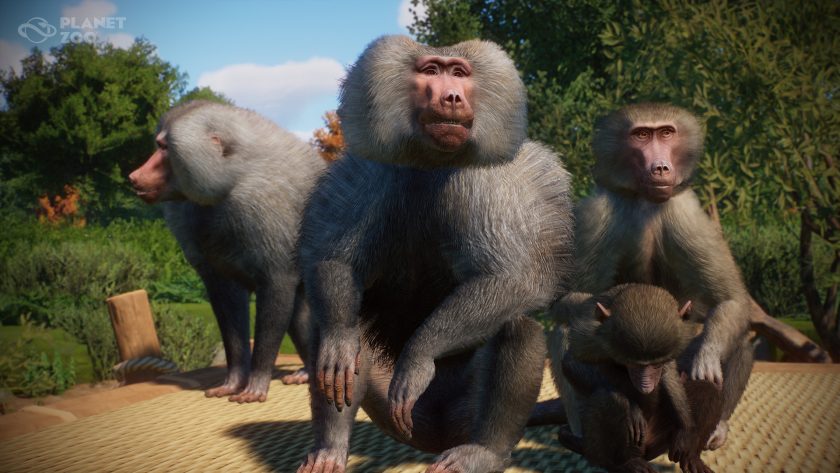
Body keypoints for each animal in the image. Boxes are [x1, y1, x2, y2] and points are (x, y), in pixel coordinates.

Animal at [128, 101, 326, 402]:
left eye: (163, 147)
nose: (134, 177)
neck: (232, 178)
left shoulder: (263, 209)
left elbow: (277, 287)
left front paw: (255, 385)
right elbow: (227, 303)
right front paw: (233, 382)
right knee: (299, 314)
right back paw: (307, 372)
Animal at [296, 35, 574, 473]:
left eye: (459, 73)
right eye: (431, 71)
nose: (452, 97)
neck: (430, 162)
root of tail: (433, 440)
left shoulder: (508, 181)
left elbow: (514, 278)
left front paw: (417, 359)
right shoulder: (364, 169)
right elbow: (333, 260)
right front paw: (339, 341)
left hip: (459, 414)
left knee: (518, 326)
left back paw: (482, 453)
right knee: (334, 337)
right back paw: (330, 447)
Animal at [551, 103, 753, 449]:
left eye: (667, 133)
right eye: (642, 135)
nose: (660, 168)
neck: (644, 200)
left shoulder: (685, 210)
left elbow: (730, 300)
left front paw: (706, 360)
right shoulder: (595, 213)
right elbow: (564, 300)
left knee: (738, 336)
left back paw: (715, 428)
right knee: (567, 329)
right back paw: (585, 437)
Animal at [555, 284, 721, 473]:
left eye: (656, 364)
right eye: (633, 364)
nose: (646, 383)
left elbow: (670, 376)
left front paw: (686, 433)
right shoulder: (590, 334)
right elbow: (572, 362)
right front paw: (633, 408)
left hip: (658, 442)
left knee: (709, 391)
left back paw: (692, 457)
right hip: (601, 447)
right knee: (609, 400)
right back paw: (624, 463)